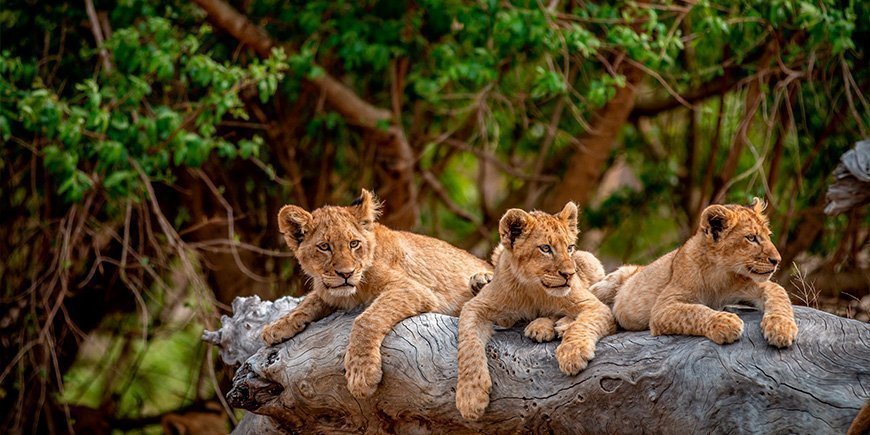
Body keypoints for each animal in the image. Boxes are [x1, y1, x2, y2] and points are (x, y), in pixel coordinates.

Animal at [260, 189, 492, 399]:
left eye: (354, 244)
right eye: (324, 247)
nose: (346, 274)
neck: (354, 292)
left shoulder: (412, 288)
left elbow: (366, 320)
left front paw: (362, 374)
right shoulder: (330, 292)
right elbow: (309, 302)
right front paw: (277, 327)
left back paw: (482, 280)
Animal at [455, 202, 615, 420]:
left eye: (570, 248)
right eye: (545, 248)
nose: (569, 274)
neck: (532, 288)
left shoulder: (594, 305)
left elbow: (584, 323)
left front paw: (573, 353)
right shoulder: (476, 307)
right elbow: (468, 344)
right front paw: (470, 396)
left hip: (590, 260)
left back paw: (551, 326)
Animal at [590, 198, 798, 348]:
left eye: (768, 236)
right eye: (751, 238)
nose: (777, 260)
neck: (721, 274)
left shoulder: (754, 285)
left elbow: (779, 294)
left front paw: (782, 327)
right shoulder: (663, 308)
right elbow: (695, 311)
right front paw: (726, 322)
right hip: (609, 283)